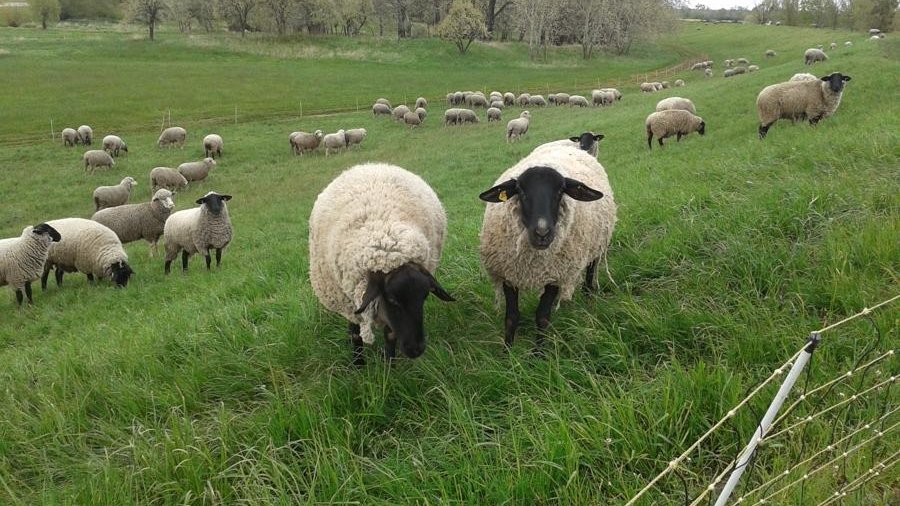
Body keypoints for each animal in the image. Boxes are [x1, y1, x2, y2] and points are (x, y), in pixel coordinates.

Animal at [308, 163, 453, 364]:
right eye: (392, 299)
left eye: (424, 296)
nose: (416, 350)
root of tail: (368, 165)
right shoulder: (350, 304)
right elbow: (355, 335)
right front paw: (358, 364)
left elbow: (390, 336)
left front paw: (389, 365)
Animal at [478, 144, 615, 349]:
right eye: (520, 191)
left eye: (560, 191)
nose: (542, 233)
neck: (533, 262)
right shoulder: (508, 273)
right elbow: (511, 317)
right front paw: (508, 351)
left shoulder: (554, 274)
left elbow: (542, 317)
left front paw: (538, 353)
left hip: (597, 242)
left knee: (591, 270)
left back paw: (589, 296)